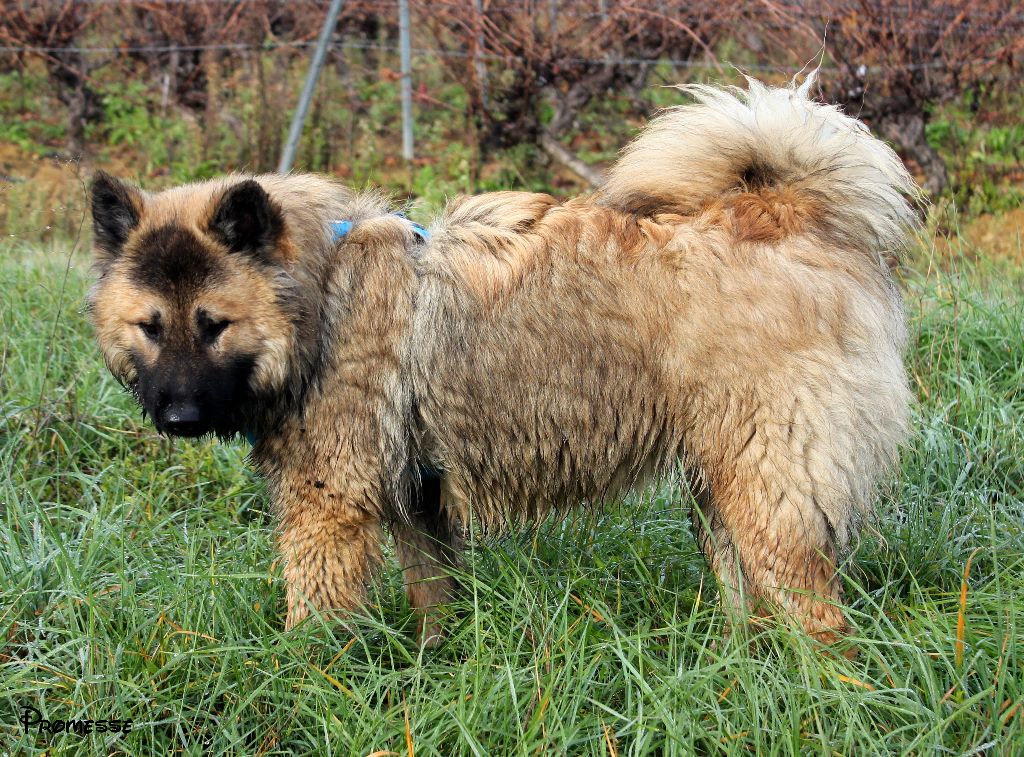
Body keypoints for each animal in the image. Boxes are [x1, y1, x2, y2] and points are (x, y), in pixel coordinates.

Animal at [90, 75, 921, 647]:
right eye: (150, 326)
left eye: (215, 324)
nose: (177, 415)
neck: (321, 298)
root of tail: (789, 212)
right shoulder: (416, 502)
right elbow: (433, 599)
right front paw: (436, 665)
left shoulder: (327, 507)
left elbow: (314, 620)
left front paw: (303, 679)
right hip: (721, 485)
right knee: (747, 592)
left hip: (771, 487)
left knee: (820, 617)